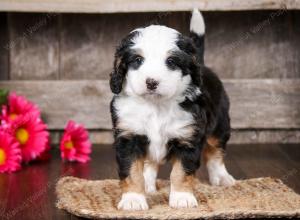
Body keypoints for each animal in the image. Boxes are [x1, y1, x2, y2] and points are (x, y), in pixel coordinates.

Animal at [109, 8, 236, 211]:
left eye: (171, 61)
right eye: (138, 60)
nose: (151, 82)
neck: (156, 106)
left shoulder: (188, 138)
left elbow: (181, 172)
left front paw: (182, 198)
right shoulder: (128, 136)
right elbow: (132, 171)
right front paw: (133, 199)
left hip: (220, 124)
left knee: (216, 151)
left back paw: (222, 177)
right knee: (150, 162)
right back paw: (148, 183)